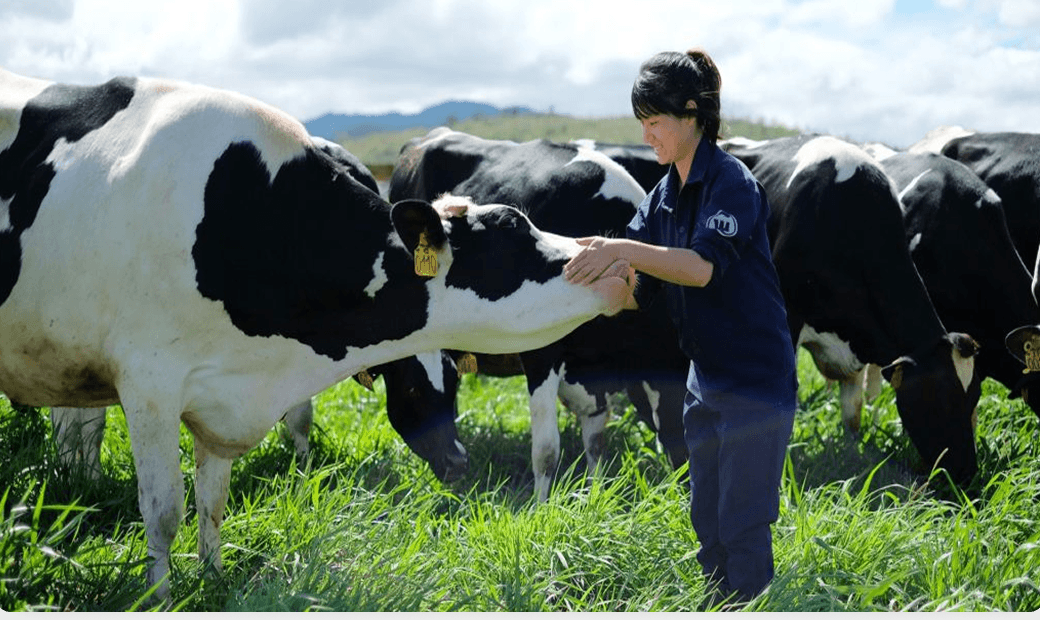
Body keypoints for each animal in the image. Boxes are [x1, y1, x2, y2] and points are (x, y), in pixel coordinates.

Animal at [0, 68, 625, 598]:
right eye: (513, 232)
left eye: (453, 384)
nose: (604, 258)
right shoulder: (148, 382)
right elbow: (163, 511)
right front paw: (160, 598)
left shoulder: (224, 391)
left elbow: (212, 500)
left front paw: (215, 578)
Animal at [721, 134, 982, 486]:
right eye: (939, 400)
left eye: (974, 398)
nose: (968, 473)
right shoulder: (787, 318)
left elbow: (853, 415)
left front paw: (852, 458)